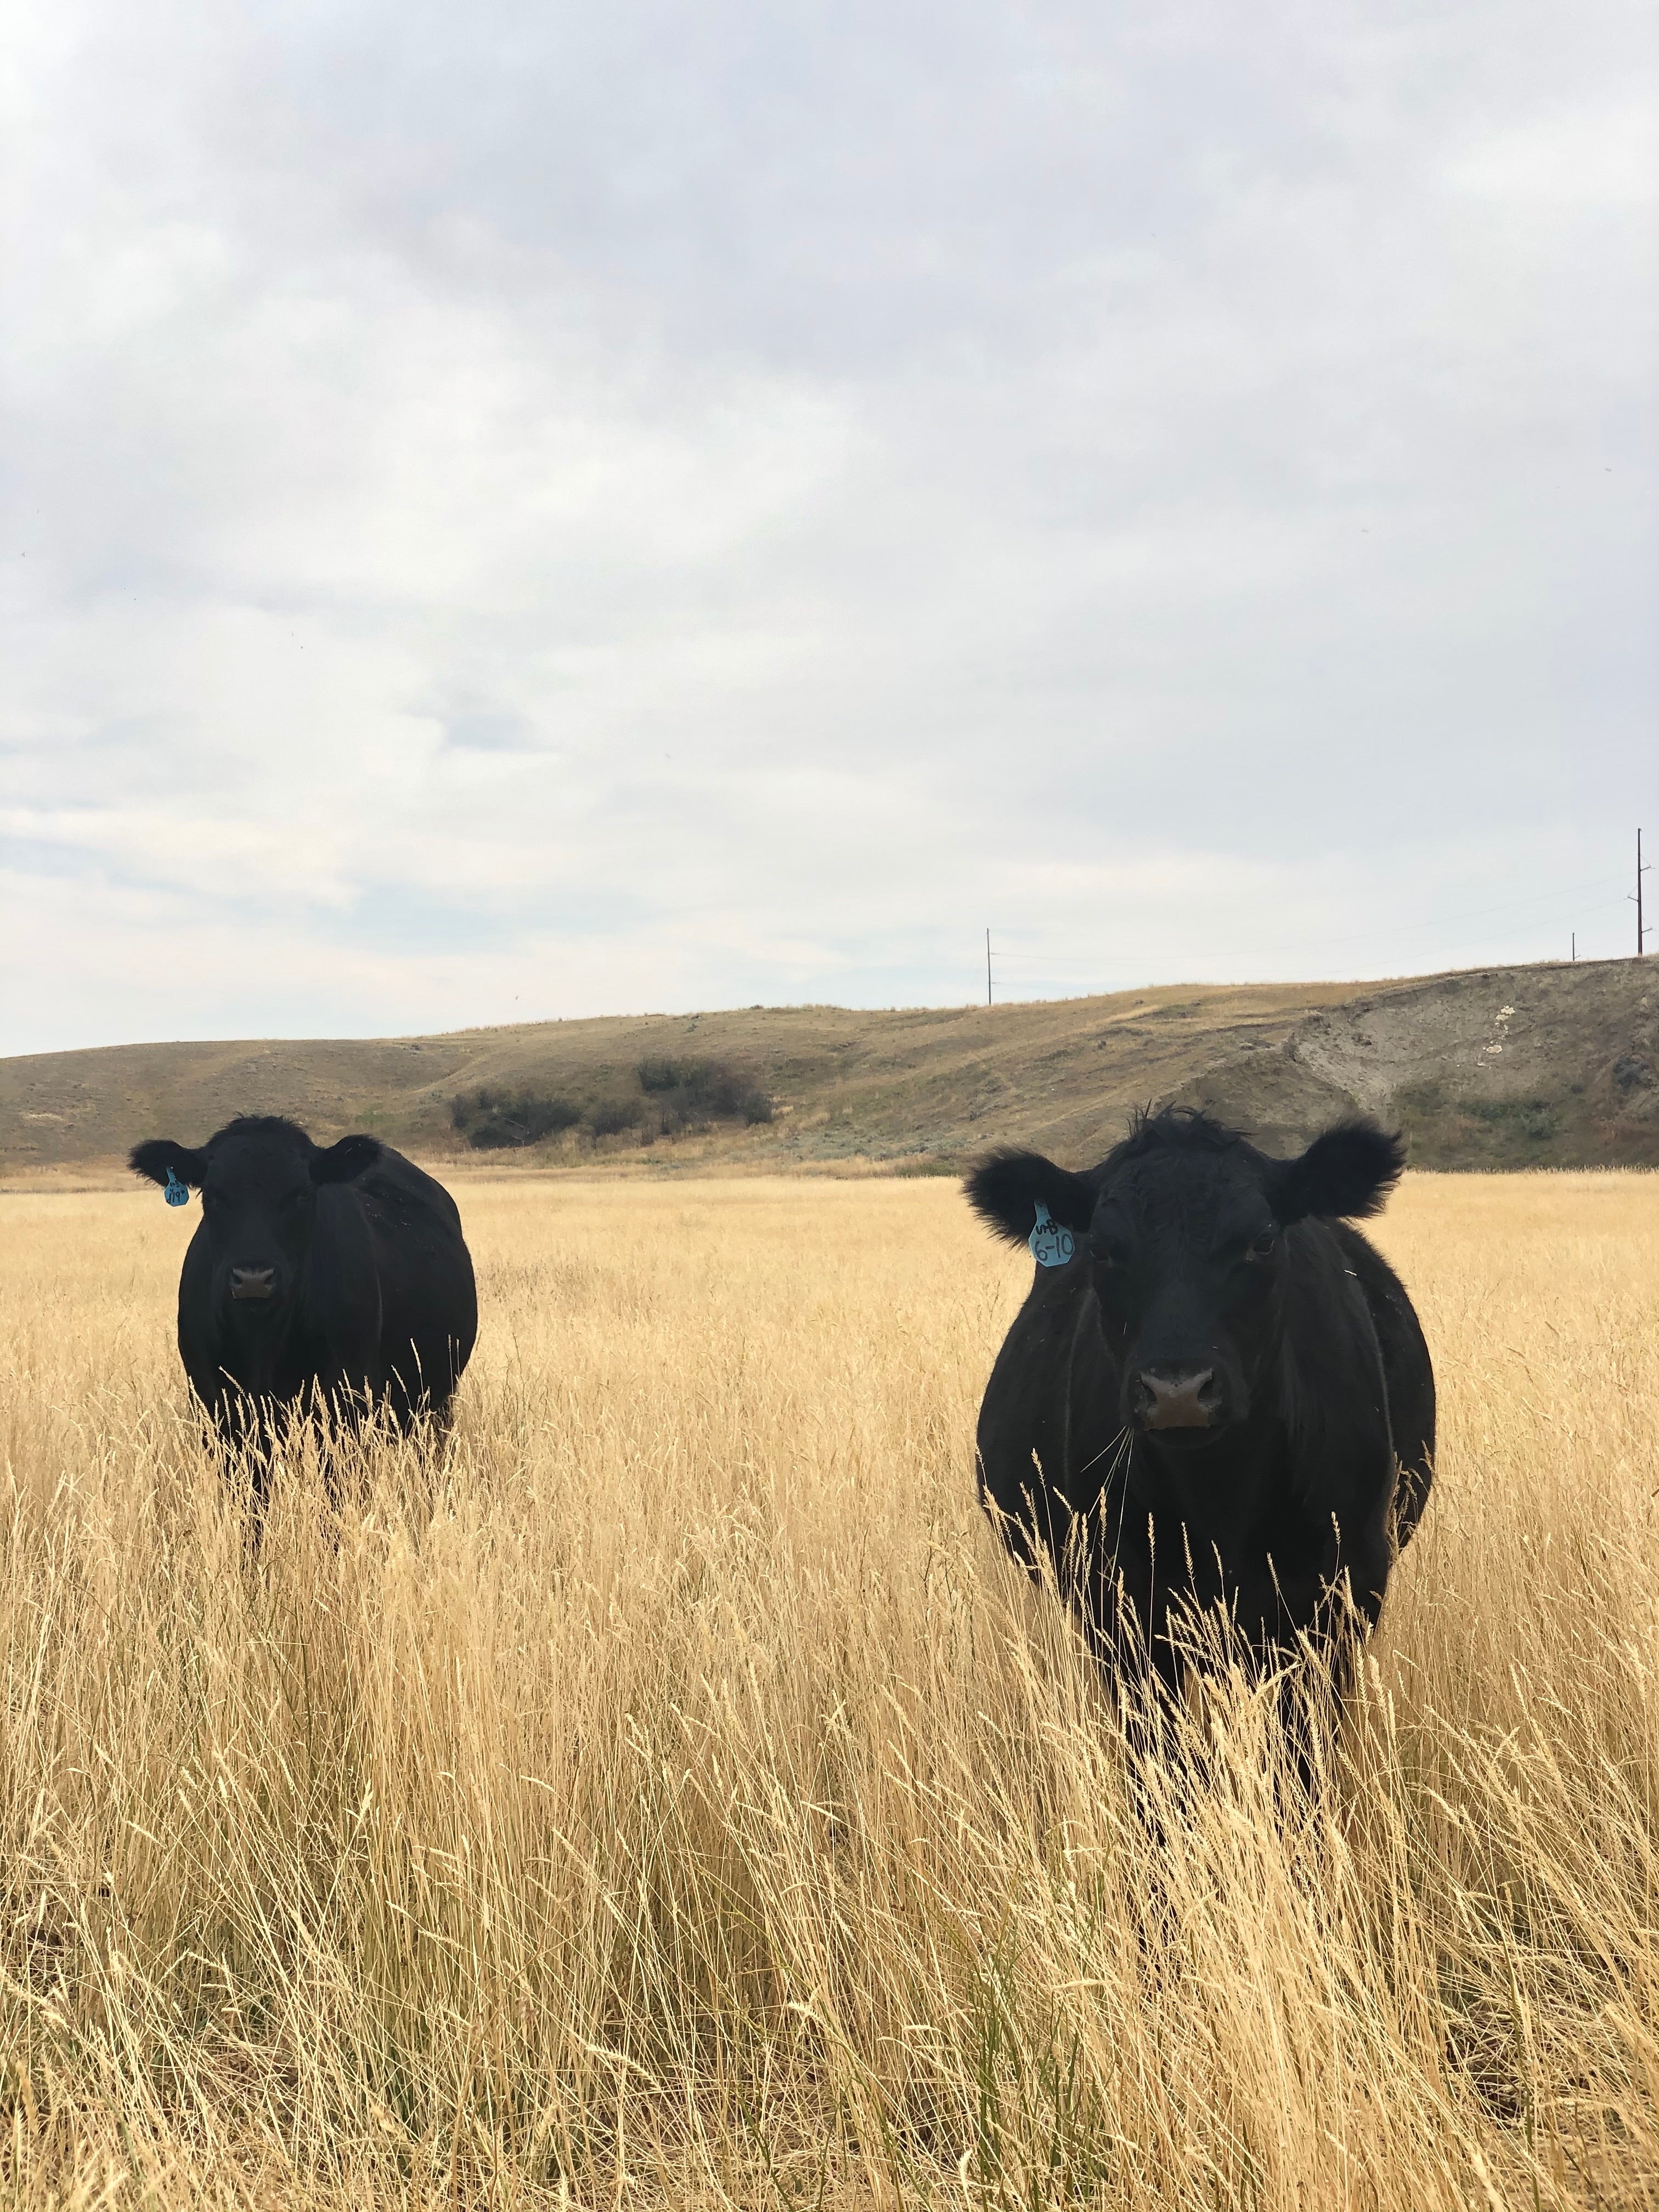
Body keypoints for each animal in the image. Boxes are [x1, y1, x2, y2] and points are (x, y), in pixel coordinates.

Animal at [130, 1116, 477, 1506]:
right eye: (213, 1195)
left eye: (301, 1194)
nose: (253, 1279)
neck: (264, 1340)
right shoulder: (216, 1402)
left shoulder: (345, 1398)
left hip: (437, 1400)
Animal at [964, 1107, 1434, 1750]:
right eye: (1103, 1250)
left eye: (1263, 1241)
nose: (1177, 1391)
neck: (1221, 1498)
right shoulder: (1120, 1605)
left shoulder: (1343, 1594)